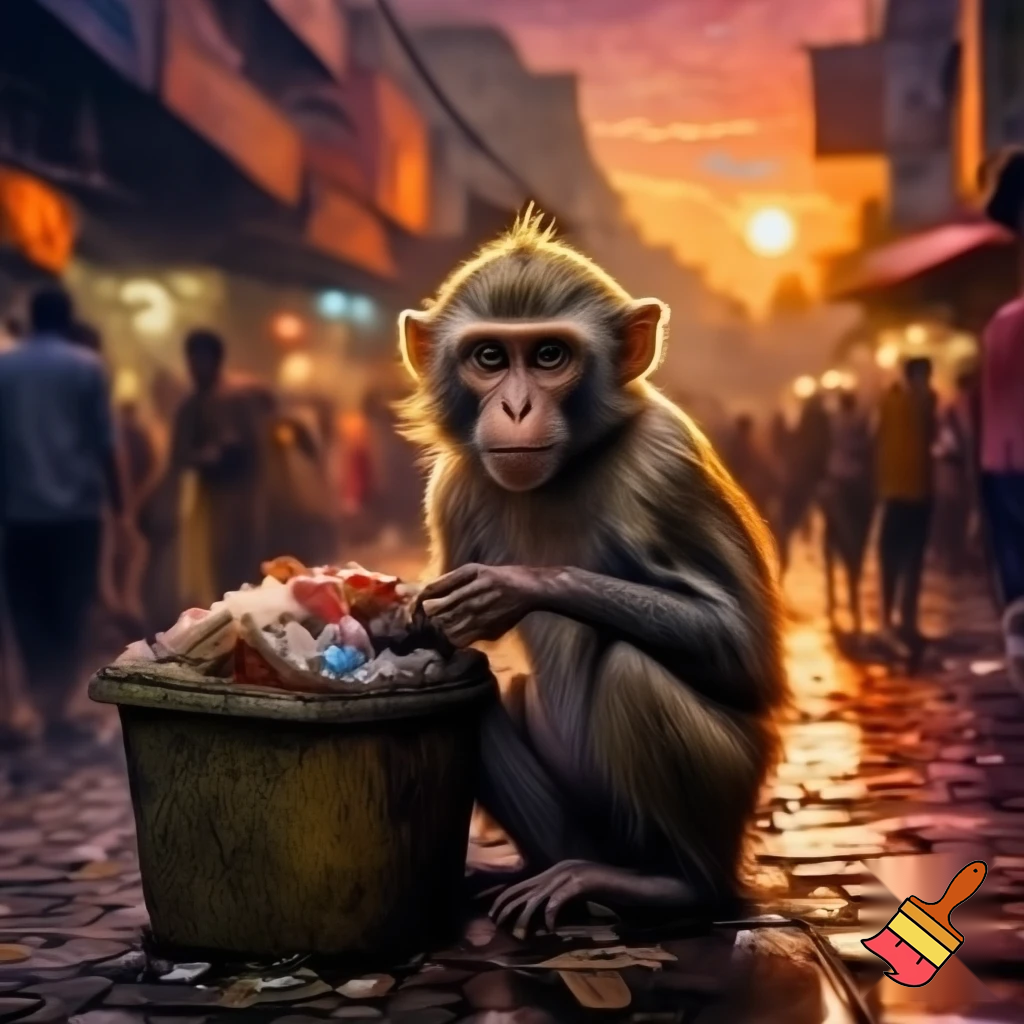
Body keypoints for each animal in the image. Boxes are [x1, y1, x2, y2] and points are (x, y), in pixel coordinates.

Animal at [398, 208, 788, 936]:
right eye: (490, 358)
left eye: (550, 356)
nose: (516, 408)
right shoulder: (454, 486)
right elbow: (438, 643)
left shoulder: (666, 461)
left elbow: (746, 654)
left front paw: (510, 590)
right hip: (575, 830)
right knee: (480, 687)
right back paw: (539, 870)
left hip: (726, 799)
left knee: (632, 671)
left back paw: (676, 888)